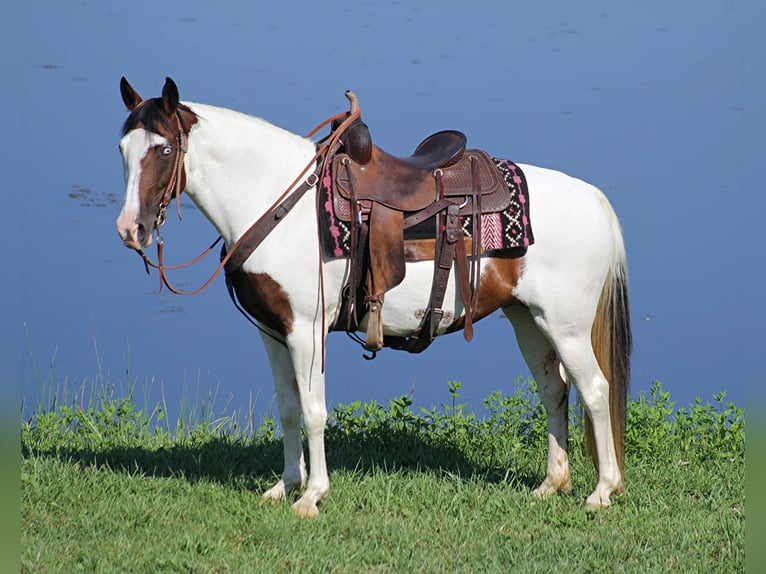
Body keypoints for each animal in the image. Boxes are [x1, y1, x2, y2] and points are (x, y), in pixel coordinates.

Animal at [114, 77, 632, 520]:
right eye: (122, 149)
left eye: (163, 149)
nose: (130, 230)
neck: (278, 202)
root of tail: (594, 198)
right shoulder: (273, 331)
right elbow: (287, 408)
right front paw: (283, 486)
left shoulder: (307, 331)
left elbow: (314, 412)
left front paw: (312, 496)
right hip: (528, 318)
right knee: (554, 389)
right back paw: (551, 484)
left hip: (566, 326)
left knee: (594, 390)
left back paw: (602, 491)